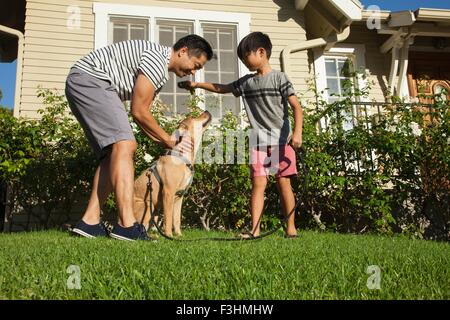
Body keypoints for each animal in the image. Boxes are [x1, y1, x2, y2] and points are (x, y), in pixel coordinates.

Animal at [133, 110, 212, 238]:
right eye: (193, 117)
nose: (206, 111)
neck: (183, 156)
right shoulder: (168, 192)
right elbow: (168, 217)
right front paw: (169, 235)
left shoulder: (179, 196)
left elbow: (177, 218)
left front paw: (179, 235)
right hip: (148, 204)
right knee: (142, 226)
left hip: (155, 208)